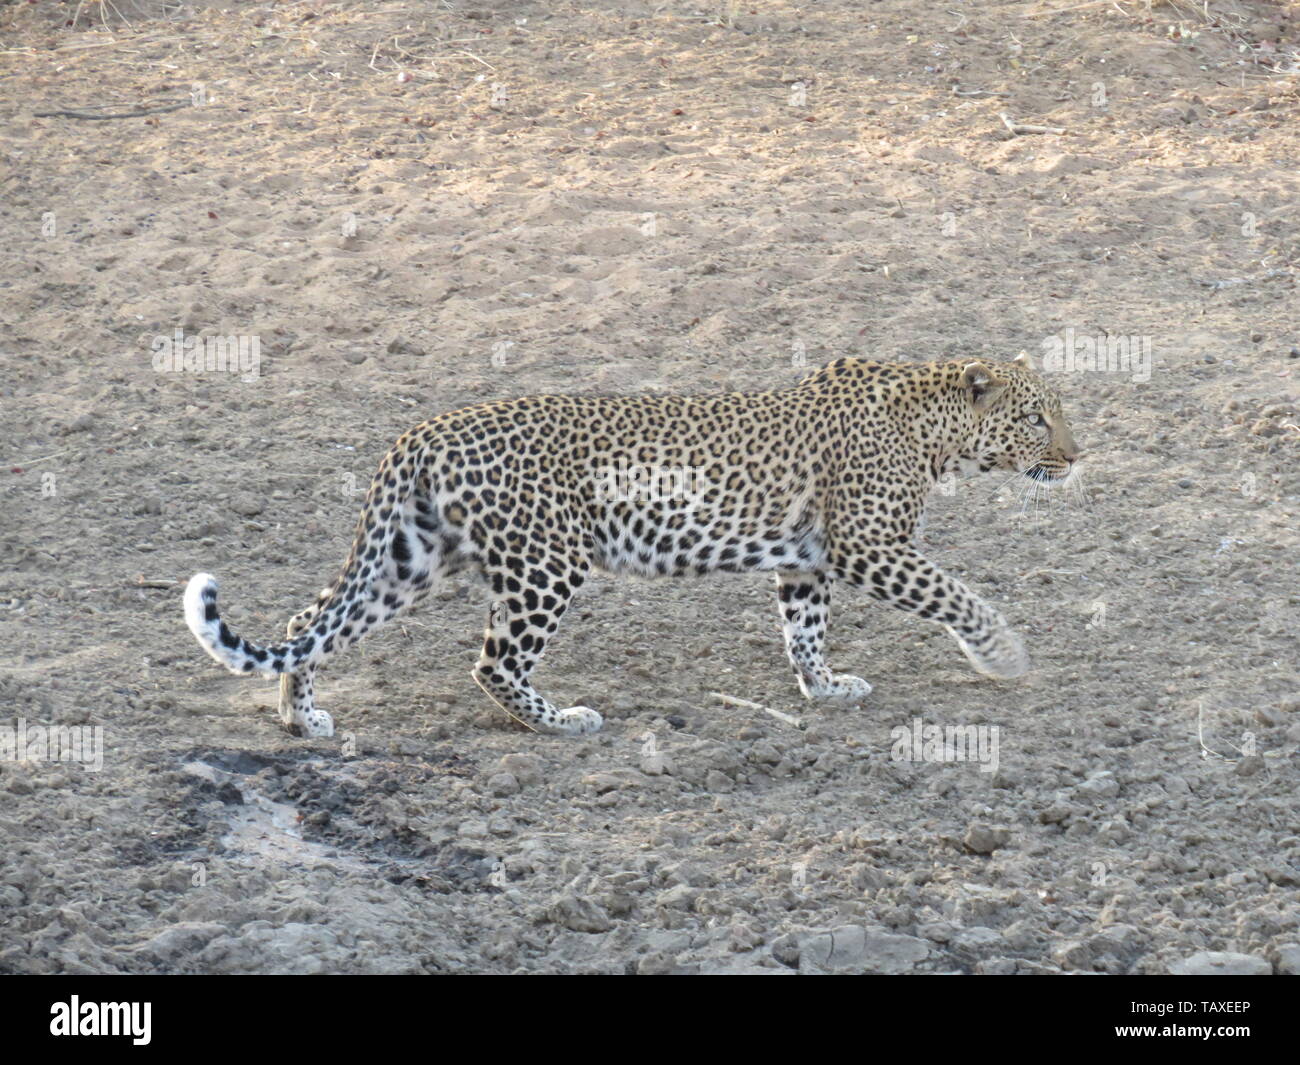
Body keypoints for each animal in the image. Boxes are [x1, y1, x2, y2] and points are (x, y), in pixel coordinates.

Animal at [183, 353, 1076, 738]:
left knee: (309, 619)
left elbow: (806, 630)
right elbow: (958, 593)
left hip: (411, 557)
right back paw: (562, 720)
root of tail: (421, 431)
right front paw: (1005, 656)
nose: (1075, 454)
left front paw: (823, 688)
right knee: (492, 662)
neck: (935, 425)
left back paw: (300, 716)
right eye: (1038, 418)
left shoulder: (807, 560)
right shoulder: (868, 545)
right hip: (545, 562)